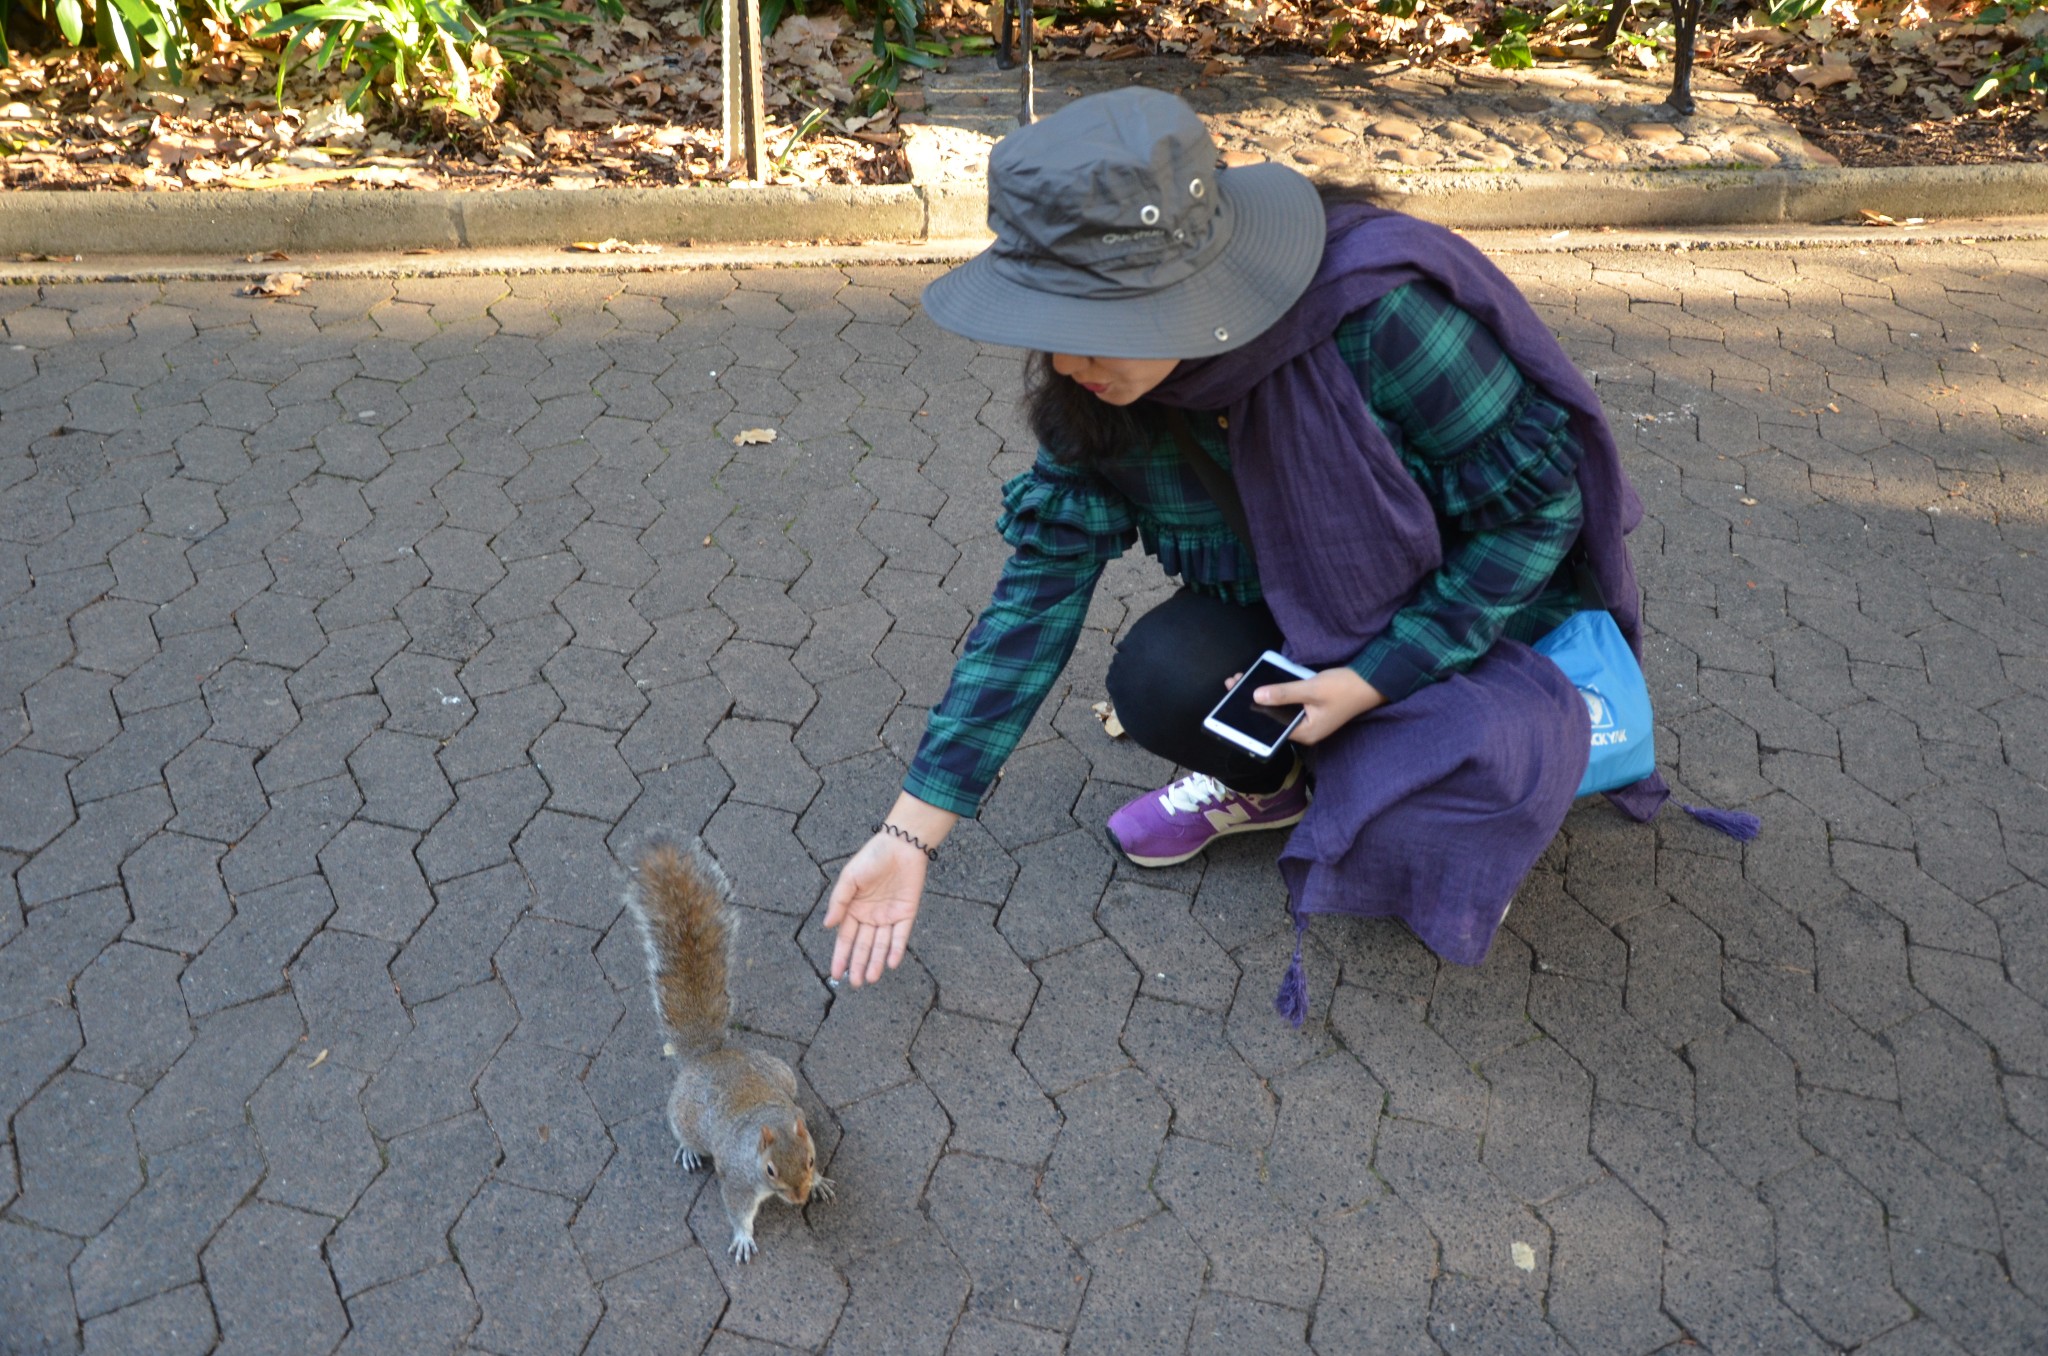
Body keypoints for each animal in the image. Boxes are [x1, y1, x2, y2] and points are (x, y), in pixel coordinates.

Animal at [618, 835, 827, 1269]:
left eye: (811, 1159)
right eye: (769, 1170)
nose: (799, 1197)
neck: (768, 1122)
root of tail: (708, 1055)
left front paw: (820, 1183)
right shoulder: (738, 1181)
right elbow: (738, 1209)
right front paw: (743, 1237)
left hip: (783, 1073)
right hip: (684, 1115)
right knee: (683, 1132)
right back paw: (688, 1151)